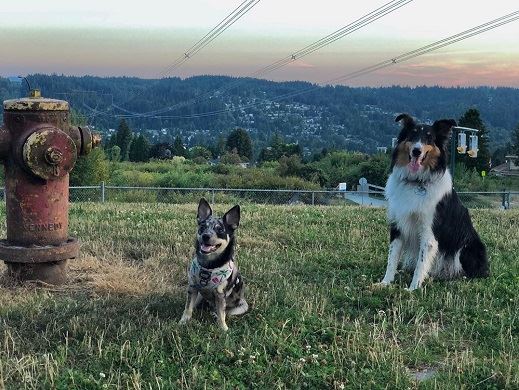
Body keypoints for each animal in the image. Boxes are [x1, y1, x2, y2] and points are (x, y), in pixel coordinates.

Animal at [180, 198, 249, 330]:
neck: (209, 266)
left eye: (220, 229)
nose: (205, 236)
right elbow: (188, 307)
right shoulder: (192, 288)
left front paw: (223, 328)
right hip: (199, 295)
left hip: (241, 307)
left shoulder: (220, 294)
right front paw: (183, 321)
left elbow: (222, 313)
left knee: (224, 311)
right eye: (202, 227)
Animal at [380, 112, 490, 290]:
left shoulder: (428, 231)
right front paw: (385, 282)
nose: (416, 151)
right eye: (412, 135)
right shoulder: (397, 225)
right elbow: (392, 258)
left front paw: (413, 289)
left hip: (468, 247)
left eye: (429, 138)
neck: (416, 182)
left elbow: (421, 263)